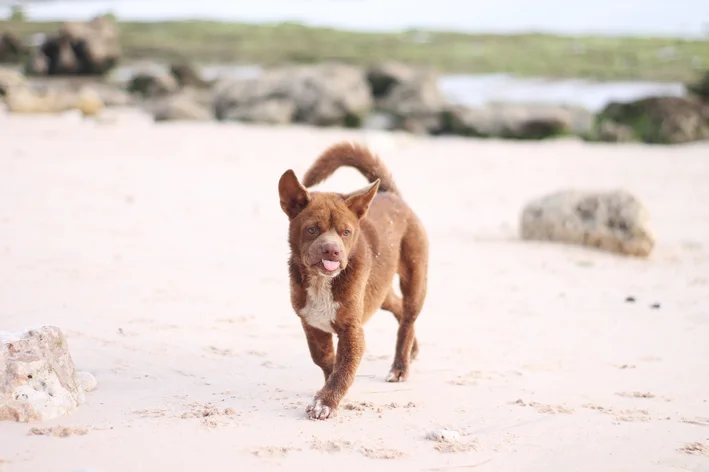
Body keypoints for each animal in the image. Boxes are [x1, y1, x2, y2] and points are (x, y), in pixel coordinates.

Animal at [278, 141, 428, 420]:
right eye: (312, 229)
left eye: (346, 232)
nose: (332, 250)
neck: (322, 282)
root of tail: (391, 195)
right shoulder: (311, 324)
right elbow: (326, 359)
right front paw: (326, 389)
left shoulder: (352, 330)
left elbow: (343, 368)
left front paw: (325, 402)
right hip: (378, 292)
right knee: (398, 308)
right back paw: (412, 349)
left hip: (415, 278)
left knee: (408, 318)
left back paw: (400, 366)